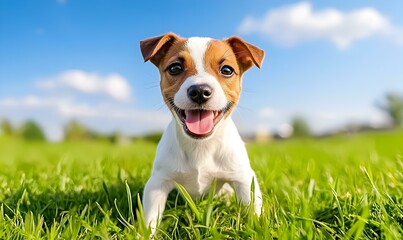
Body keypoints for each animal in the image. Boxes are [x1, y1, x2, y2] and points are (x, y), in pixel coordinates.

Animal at [140, 31, 266, 231]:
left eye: (227, 70)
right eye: (175, 68)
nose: (199, 91)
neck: (201, 145)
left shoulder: (244, 179)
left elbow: (253, 209)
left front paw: (257, 230)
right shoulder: (157, 183)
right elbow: (150, 219)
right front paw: (145, 233)